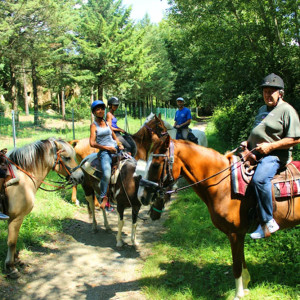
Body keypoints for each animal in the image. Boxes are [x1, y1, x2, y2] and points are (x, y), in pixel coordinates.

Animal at [1, 137, 77, 278]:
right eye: (67, 157)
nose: (79, 176)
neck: (23, 176)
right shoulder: (15, 217)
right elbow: (12, 241)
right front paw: (11, 267)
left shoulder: (13, 218)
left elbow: (14, 238)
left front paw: (16, 260)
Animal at [138, 135, 300, 298]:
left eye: (156, 165)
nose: (141, 196)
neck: (224, 185)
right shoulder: (239, 234)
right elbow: (242, 260)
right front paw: (245, 286)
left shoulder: (234, 234)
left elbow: (236, 265)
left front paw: (238, 295)